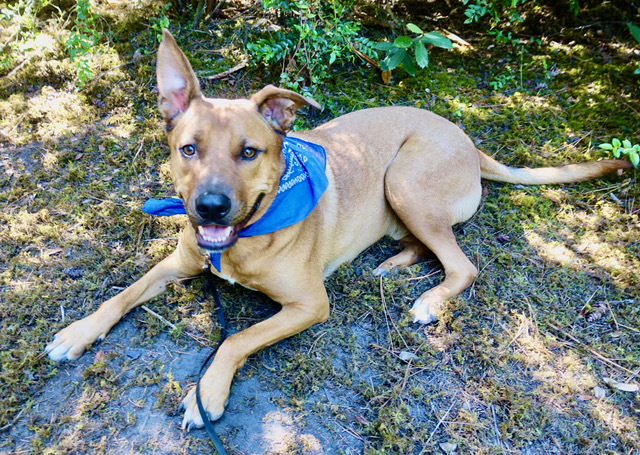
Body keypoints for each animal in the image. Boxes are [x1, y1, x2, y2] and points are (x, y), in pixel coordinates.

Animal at [45, 30, 632, 430]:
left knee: (462, 264)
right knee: (426, 247)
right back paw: (394, 263)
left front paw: (205, 394)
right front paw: (78, 332)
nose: (210, 208)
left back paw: (428, 300)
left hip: (404, 180)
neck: (244, 241)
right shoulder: (179, 261)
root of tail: (467, 140)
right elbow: (124, 294)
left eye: (249, 152)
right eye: (188, 149)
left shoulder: (309, 304)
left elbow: (237, 337)